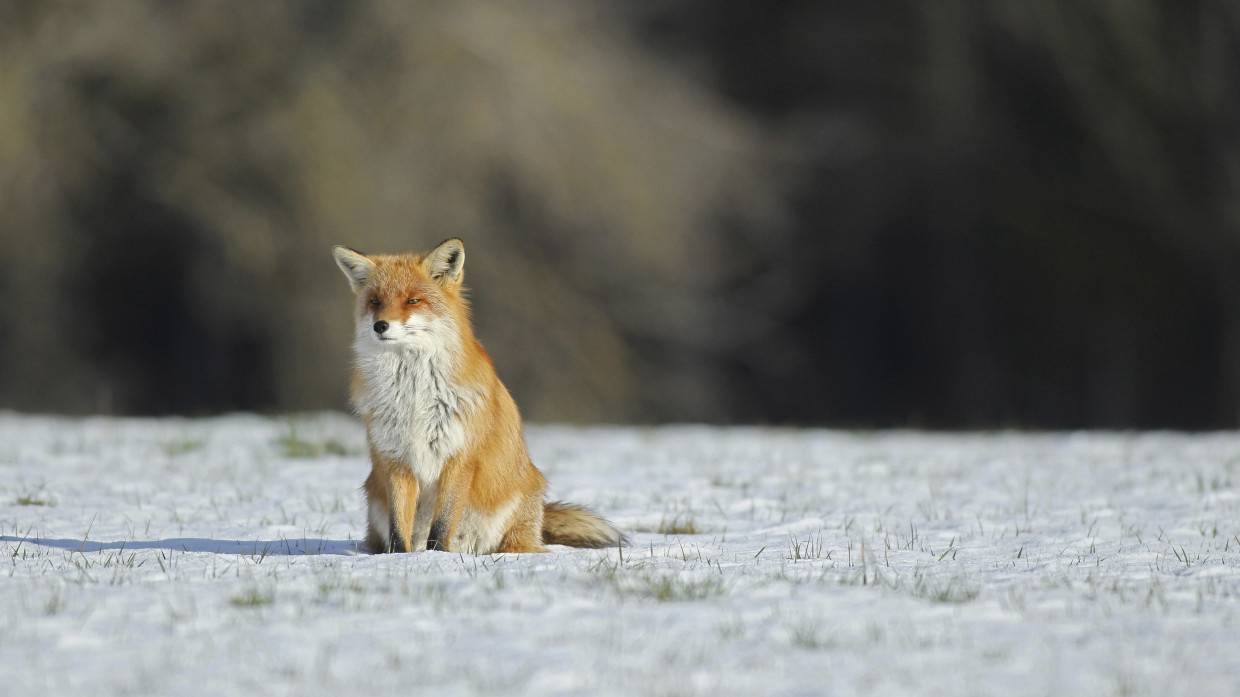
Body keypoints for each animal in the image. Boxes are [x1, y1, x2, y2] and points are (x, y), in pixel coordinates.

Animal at [329, 238, 624, 553]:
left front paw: (435, 556)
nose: (380, 325)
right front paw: (400, 558)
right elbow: (399, 526)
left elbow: (442, 523)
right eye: (375, 301)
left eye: (413, 300)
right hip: (375, 500)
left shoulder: (460, 457)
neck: (413, 393)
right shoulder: (396, 459)